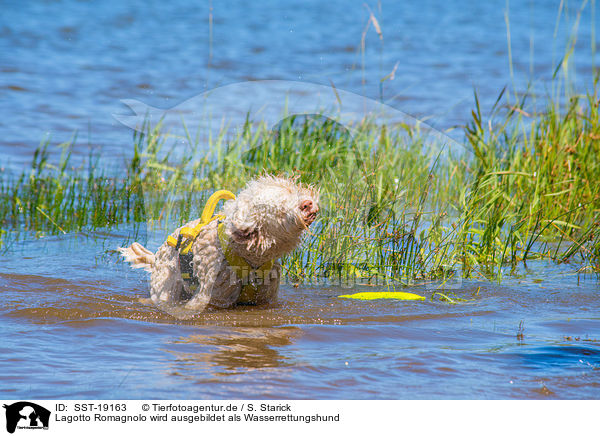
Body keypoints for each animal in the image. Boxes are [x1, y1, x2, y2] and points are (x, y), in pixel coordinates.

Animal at [119, 175, 322, 314]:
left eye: (290, 190)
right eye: (278, 211)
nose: (307, 204)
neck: (249, 258)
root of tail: (157, 257)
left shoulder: (267, 297)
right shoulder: (214, 297)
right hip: (166, 287)